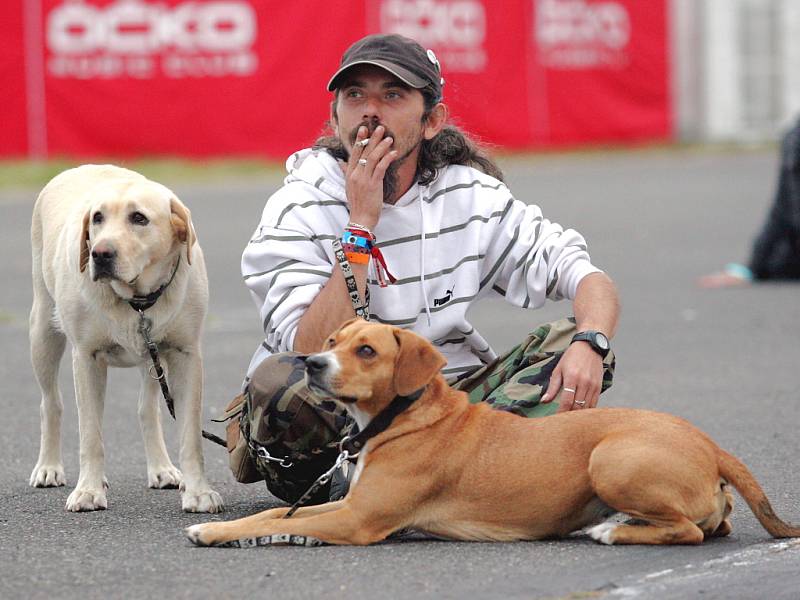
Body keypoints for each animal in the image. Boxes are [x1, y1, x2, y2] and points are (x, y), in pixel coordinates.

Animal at [29, 164, 222, 510]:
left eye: (139, 218)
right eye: (97, 218)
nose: (100, 253)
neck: (137, 300)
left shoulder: (185, 355)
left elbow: (189, 435)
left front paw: (198, 491)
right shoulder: (87, 357)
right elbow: (90, 435)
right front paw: (88, 490)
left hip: (152, 358)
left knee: (148, 409)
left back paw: (161, 468)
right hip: (42, 332)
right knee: (51, 403)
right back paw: (48, 467)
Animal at [184, 322, 796, 548]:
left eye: (367, 350)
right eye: (334, 340)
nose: (312, 363)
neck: (401, 416)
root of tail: (711, 443)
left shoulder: (359, 520)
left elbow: (282, 523)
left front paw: (215, 534)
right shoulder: (349, 506)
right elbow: (271, 515)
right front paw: (224, 529)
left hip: (611, 458)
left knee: (687, 532)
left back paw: (610, 531)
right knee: (712, 526)